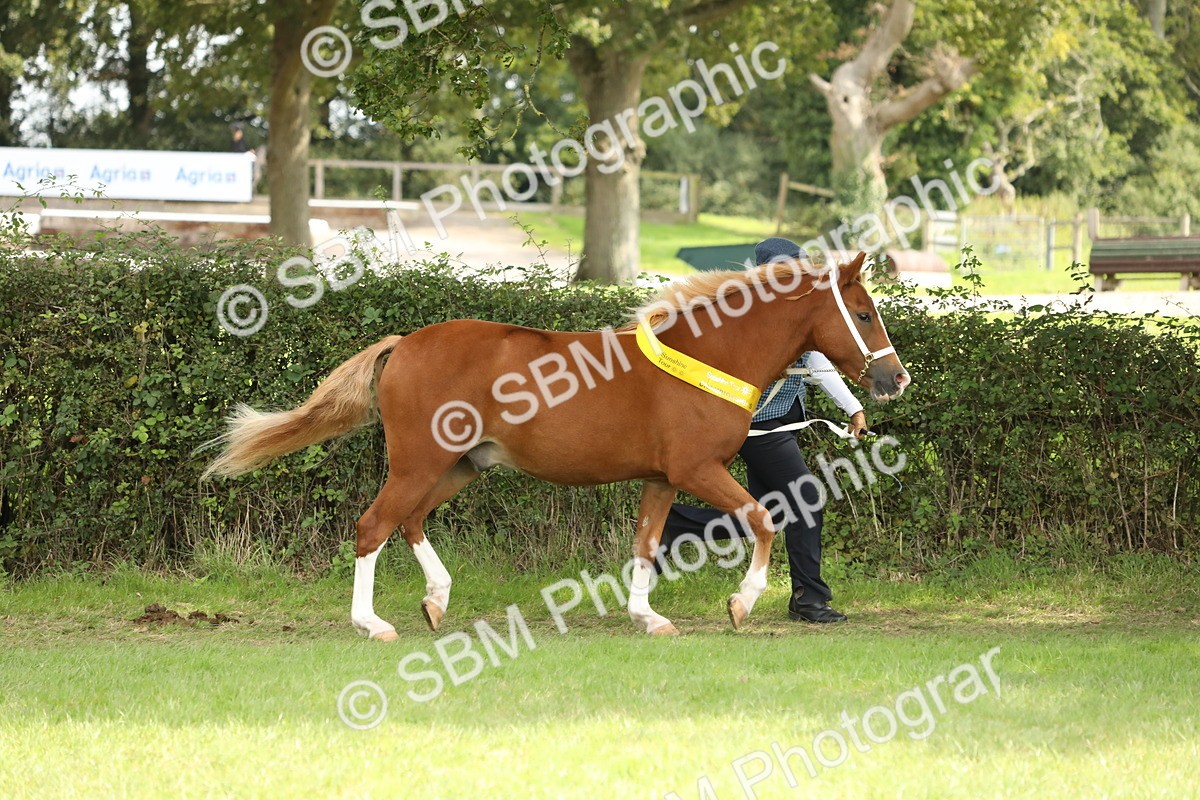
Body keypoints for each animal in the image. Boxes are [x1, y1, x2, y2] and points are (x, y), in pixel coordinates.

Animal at [202, 251, 910, 639]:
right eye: (864, 313)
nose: (895, 379)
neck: (708, 355)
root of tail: (402, 344)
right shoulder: (698, 468)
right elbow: (763, 518)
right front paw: (740, 604)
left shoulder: (662, 478)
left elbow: (647, 543)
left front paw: (648, 617)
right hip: (419, 462)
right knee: (373, 525)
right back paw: (373, 624)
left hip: (461, 466)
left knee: (410, 522)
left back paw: (436, 600)